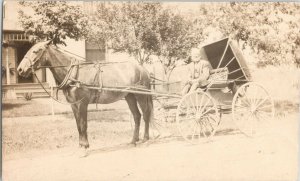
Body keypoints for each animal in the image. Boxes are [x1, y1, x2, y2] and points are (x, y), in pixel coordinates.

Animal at [17, 40, 152, 154]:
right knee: (137, 116)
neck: (73, 74)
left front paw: (85, 147)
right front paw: (81, 145)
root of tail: (143, 69)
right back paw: (134, 140)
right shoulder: (73, 104)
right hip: (130, 96)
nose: (20, 69)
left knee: (146, 114)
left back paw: (146, 139)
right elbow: (78, 125)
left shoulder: (82, 103)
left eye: (36, 50)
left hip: (141, 95)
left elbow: (83, 124)